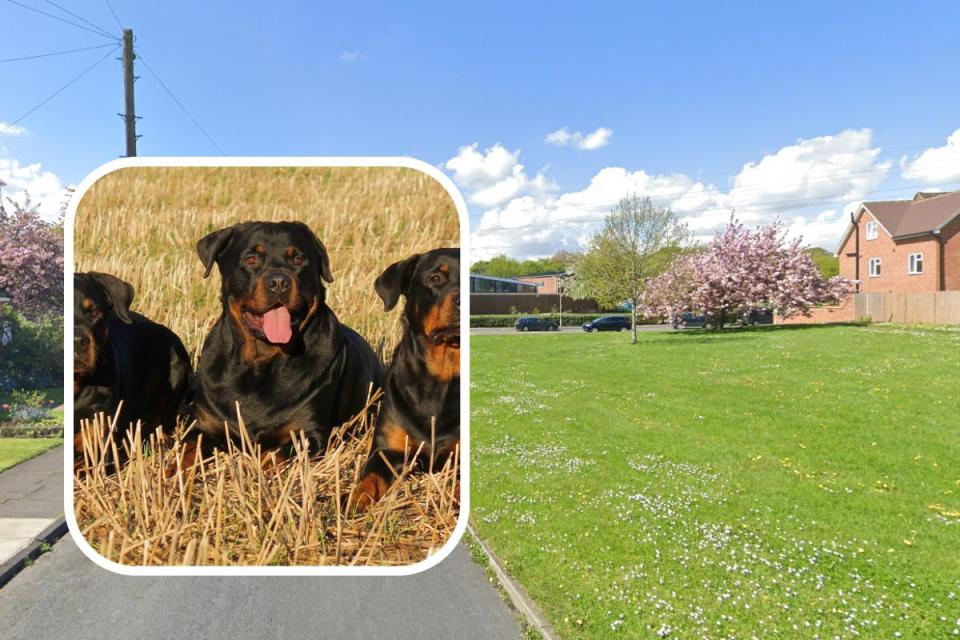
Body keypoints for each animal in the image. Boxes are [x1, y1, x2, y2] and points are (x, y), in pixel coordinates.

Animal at [189, 222, 384, 458]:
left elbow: (272, 456)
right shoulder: (204, 426)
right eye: (251, 259)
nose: (279, 282)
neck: (261, 361)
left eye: (298, 259)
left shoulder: (307, 435)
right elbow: (187, 452)